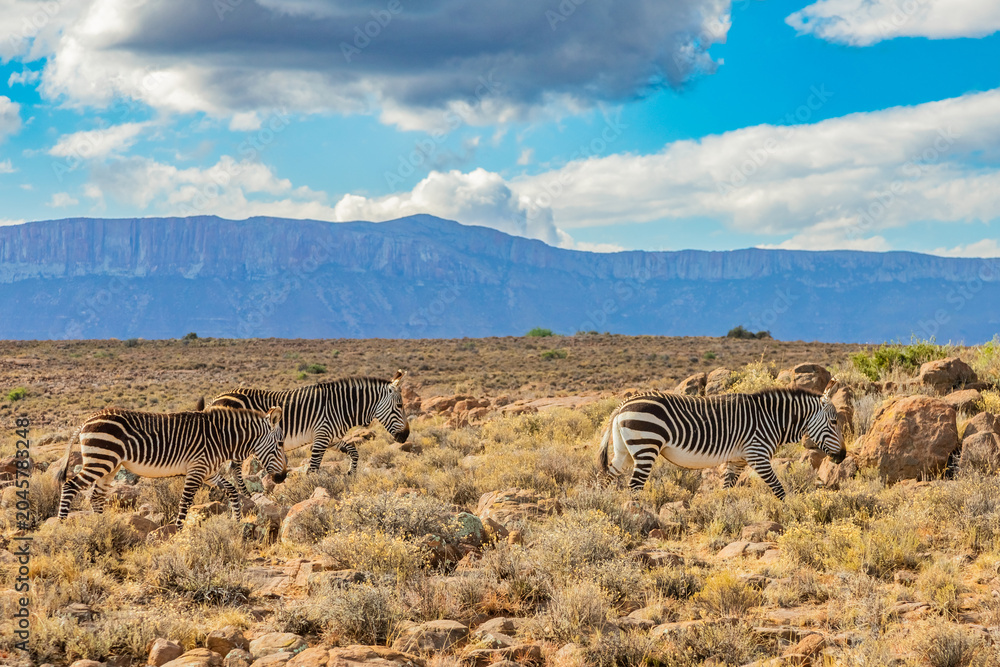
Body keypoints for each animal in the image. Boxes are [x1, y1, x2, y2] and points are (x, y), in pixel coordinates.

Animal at [56, 405, 287, 526]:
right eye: (280, 444)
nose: (282, 477)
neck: (221, 438)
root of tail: (87, 419)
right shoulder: (196, 469)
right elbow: (185, 502)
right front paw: (178, 531)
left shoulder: (208, 472)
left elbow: (231, 490)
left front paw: (236, 521)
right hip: (100, 461)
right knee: (70, 486)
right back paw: (61, 525)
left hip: (109, 466)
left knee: (96, 496)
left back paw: (103, 527)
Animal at [200, 370, 410, 494]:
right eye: (400, 406)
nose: (406, 436)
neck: (342, 407)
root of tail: (214, 399)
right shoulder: (322, 435)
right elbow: (313, 468)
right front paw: (309, 491)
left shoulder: (331, 437)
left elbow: (354, 451)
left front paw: (350, 473)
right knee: (234, 469)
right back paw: (246, 495)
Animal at [597, 382, 845, 499]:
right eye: (834, 422)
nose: (842, 456)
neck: (771, 419)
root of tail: (622, 405)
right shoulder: (757, 455)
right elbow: (779, 489)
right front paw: (789, 515)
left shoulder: (737, 460)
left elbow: (726, 490)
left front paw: (723, 516)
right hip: (646, 446)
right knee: (634, 487)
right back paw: (639, 517)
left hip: (624, 452)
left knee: (604, 478)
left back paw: (599, 509)